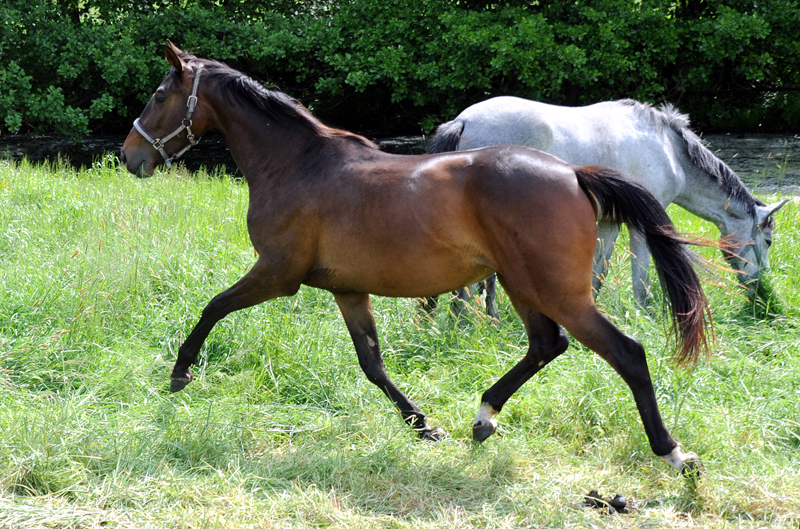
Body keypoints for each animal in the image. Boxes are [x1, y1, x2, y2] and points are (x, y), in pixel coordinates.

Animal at [120, 44, 712, 470]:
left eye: (158, 95)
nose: (131, 156)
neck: (295, 165)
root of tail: (573, 173)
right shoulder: (347, 289)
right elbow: (373, 364)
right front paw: (423, 424)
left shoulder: (276, 274)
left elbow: (212, 307)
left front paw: (180, 373)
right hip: (523, 287)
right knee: (547, 346)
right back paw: (483, 419)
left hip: (557, 291)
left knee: (625, 353)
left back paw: (673, 453)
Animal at [432, 97, 788, 316]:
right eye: (768, 241)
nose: (761, 291)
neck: (669, 149)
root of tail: (463, 121)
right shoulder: (643, 223)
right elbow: (641, 276)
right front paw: (644, 314)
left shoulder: (609, 222)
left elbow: (598, 271)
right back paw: (467, 319)